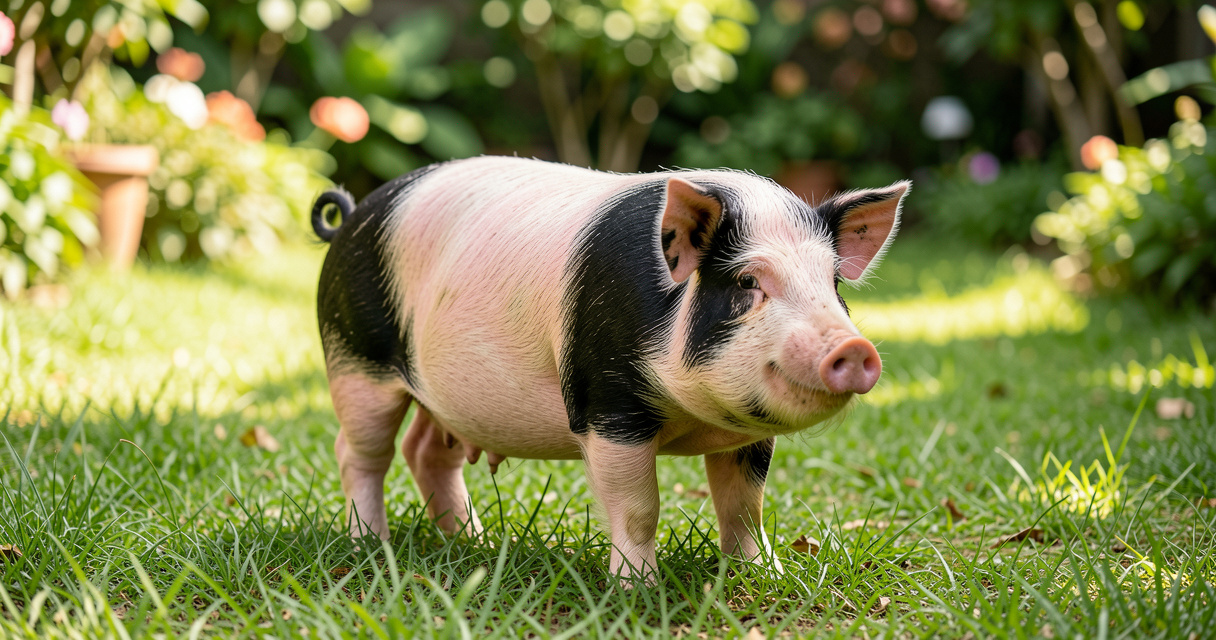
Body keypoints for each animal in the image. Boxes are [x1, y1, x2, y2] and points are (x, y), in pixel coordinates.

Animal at [311, 156, 907, 582]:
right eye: (746, 282)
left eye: (833, 283)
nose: (855, 349)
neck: (692, 418)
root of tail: (350, 219)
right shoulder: (608, 403)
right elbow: (640, 507)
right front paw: (639, 590)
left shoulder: (748, 434)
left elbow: (745, 506)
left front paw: (763, 576)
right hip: (355, 362)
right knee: (359, 453)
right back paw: (371, 546)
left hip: (442, 395)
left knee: (426, 453)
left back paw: (473, 542)